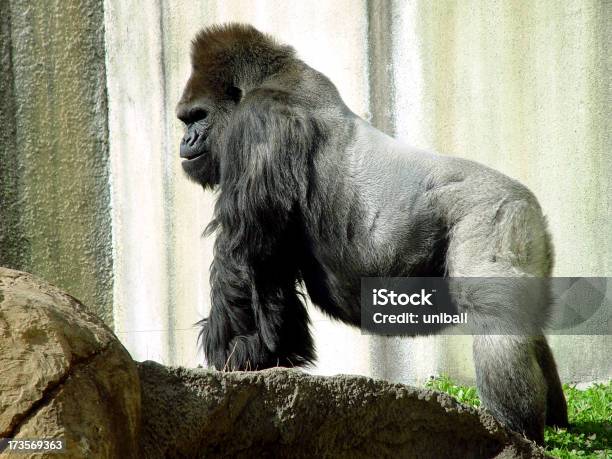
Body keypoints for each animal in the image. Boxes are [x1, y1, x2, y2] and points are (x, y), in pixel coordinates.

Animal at [177, 23, 568, 444]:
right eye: (186, 120)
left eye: (197, 116)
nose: (185, 141)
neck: (271, 78)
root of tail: (532, 207)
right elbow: (269, 266)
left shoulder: (258, 125)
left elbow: (242, 257)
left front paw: (232, 355)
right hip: (525, 236)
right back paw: (555, 421)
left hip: (495, 218)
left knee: (497, 322)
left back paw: (515, 428)